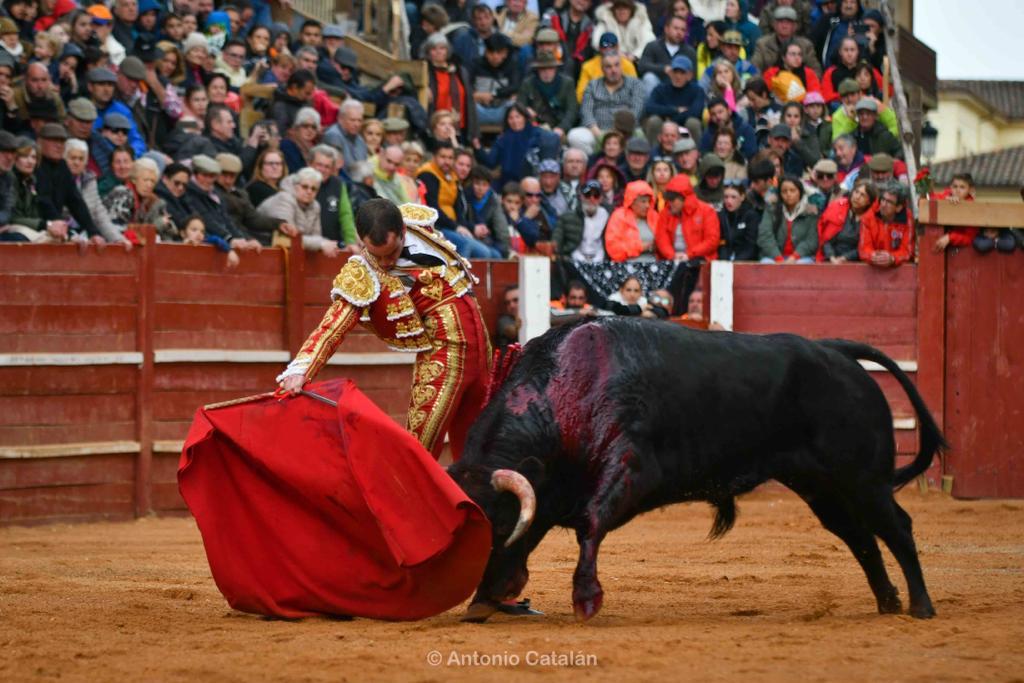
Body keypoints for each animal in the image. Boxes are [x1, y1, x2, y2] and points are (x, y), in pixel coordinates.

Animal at [448, 317, 942, 622]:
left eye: (493, 524)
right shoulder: (549, 495)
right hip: (821, 487)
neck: (569, 389)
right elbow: (531, 537)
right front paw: (487, 599)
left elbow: (591, 524)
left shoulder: (630, 468)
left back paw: (920, 606)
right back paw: (888, 601)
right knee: (860, 537)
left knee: (896, 527)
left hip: (864, 479)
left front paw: (585, 599)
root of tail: (833, 351)